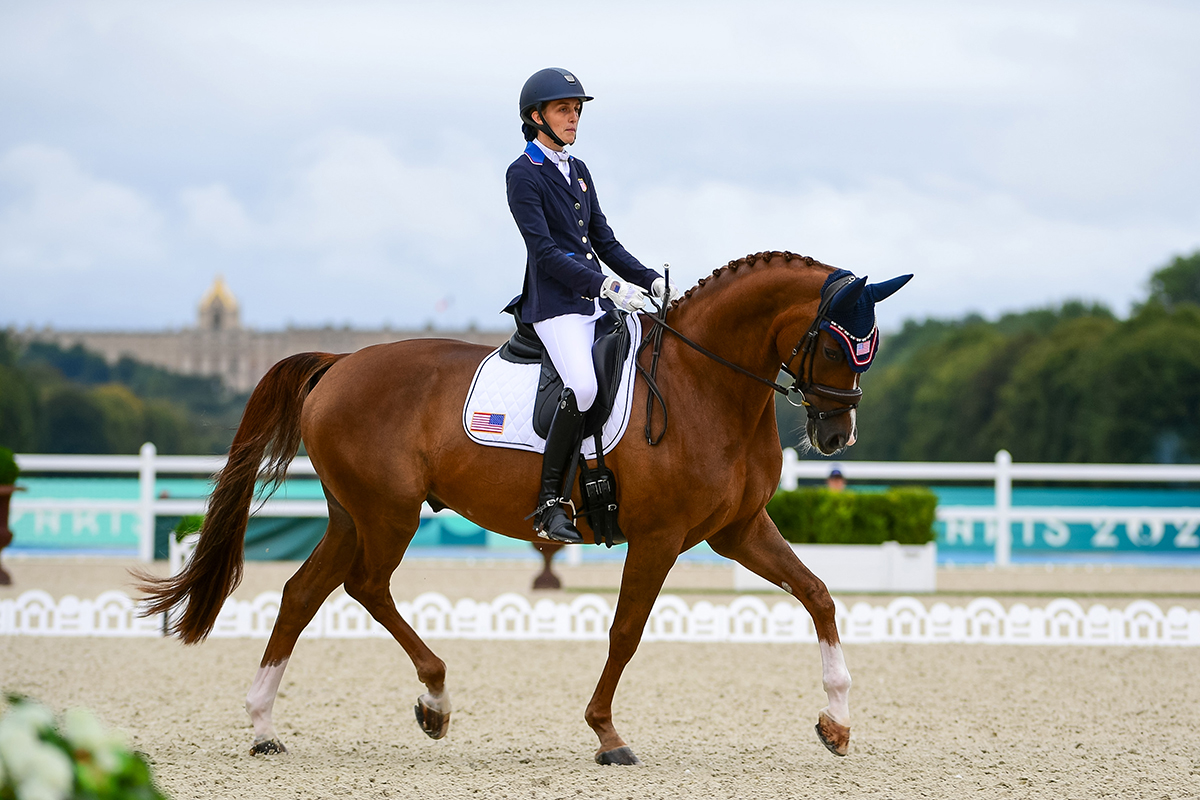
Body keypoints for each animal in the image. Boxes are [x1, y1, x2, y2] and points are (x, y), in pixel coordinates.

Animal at [142, 250, 892, 762]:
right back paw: (434, 698)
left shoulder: (738, 530)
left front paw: (836, 722)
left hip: (352, 514)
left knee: (303, 593)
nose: (838, 435)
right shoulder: (660, 536)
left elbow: (818, 593)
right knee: (365, 586)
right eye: (839, 343)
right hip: (389, 513)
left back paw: (264, 724)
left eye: (871, 347)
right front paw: (607, 734)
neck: (703, 385)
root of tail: (340, 363)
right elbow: (627, 631)